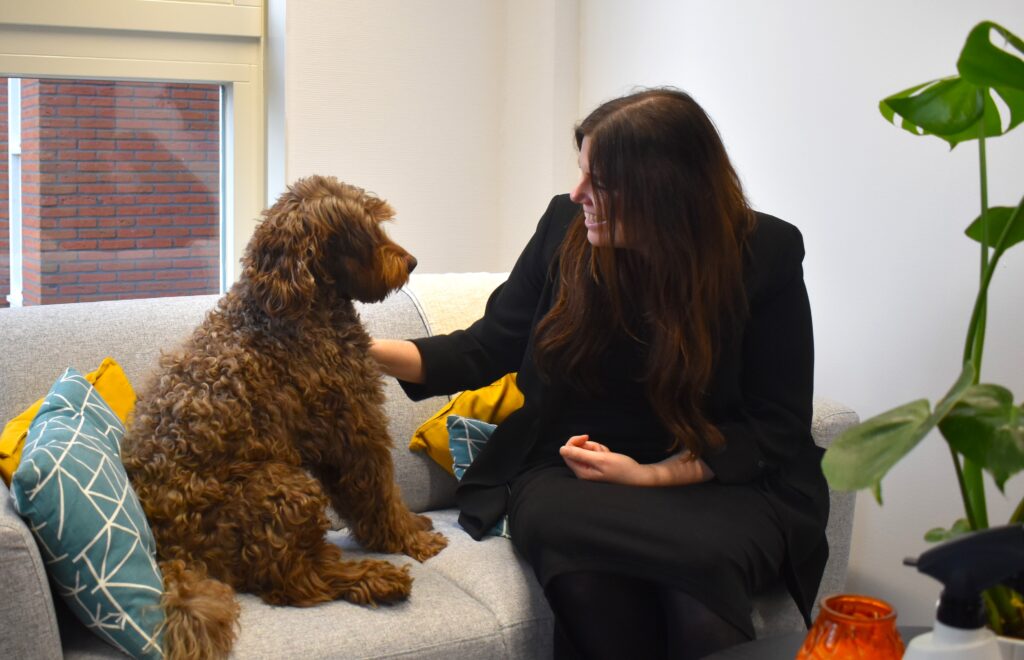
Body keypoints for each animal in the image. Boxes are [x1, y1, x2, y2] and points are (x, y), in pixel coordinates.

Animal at [120, 174, 448, 658]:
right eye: (362, 230)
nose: (411, 262)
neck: (298, 308)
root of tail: (172, 552)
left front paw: (413, 526)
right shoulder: (355, 429)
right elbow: (380, 495)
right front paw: (410, 539)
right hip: (285, 487)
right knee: (296, 585)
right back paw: (375, 578)